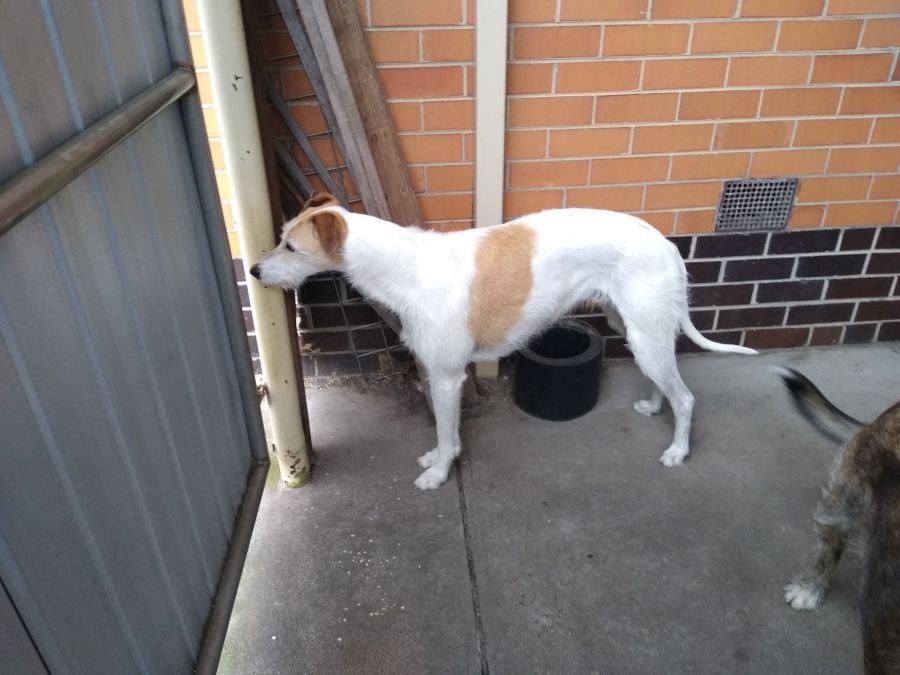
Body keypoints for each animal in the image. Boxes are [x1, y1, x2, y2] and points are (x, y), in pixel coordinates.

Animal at [250, 192, 757, 490]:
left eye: (291, 247)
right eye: (280, 239)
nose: (253, 271)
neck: (407, 268)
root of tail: (668, 243)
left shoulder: (447, 377)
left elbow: (446, 429)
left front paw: (439, 473)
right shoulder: (441, 376)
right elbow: (447, 432)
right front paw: (441, 458)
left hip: (646, 335)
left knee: (686, 398)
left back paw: (678, 450)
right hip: (637, 331)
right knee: (663, 380)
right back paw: (653, 406)